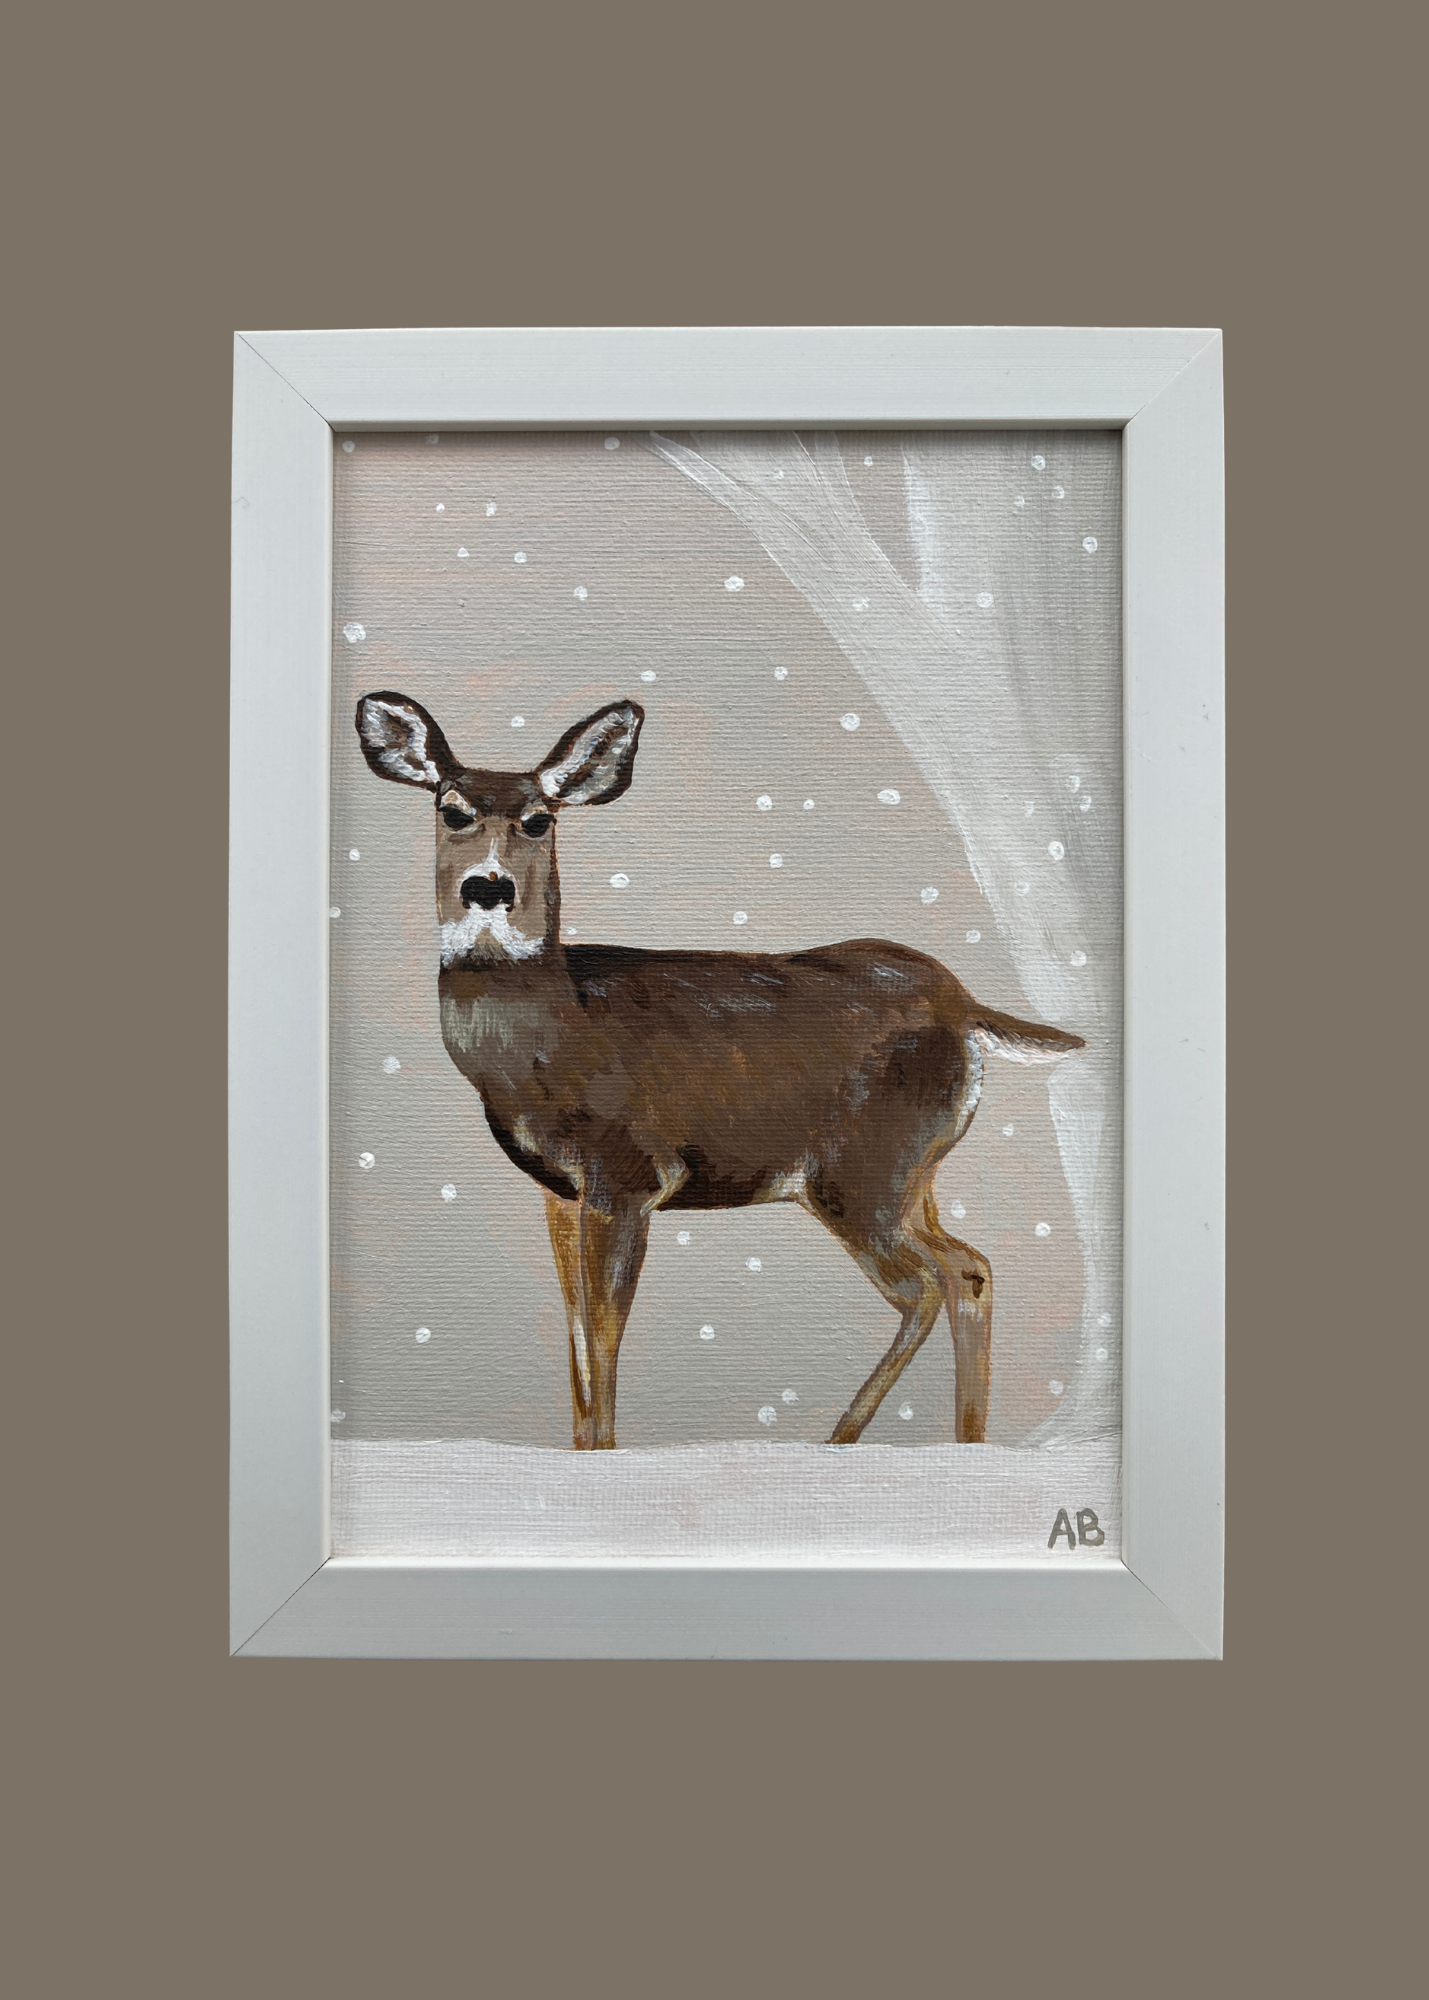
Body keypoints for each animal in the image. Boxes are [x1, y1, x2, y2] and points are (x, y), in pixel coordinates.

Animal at [357, 691, 1085, 1451]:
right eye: (451, 810)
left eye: (538, 819)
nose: (487, 887)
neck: (553, 1034)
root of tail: (963, 1006)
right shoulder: (561, 1193)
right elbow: (577, 1341)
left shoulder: (630, 1172)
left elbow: (605, 1334)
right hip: (914, 1173)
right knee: (969, 1267)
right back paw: (961, 1442)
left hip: (859, 1172)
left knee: (927, 1284)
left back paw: (841, 1439)